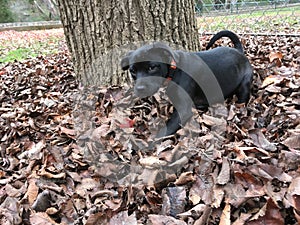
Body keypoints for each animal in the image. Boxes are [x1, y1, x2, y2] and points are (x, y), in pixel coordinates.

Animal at [120, 30, 252, 137]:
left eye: (152, 67)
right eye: (132, 71)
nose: (140, 89)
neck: (174, 69)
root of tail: (239, 51)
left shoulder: (183, 110)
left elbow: (167, 128)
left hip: (244, 85)